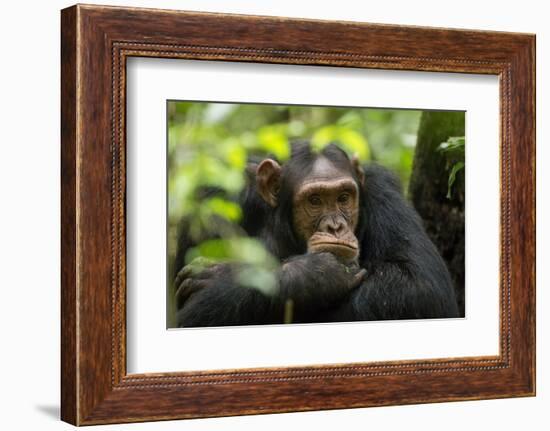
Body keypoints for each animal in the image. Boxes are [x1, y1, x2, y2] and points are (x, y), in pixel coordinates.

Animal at [174, 142, 462, 328]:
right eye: (315, 200)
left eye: (343, 197)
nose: (335, 227)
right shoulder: (214, 199)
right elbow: (192, 316)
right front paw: (316, 274)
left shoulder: (382, 192)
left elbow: (419, 285)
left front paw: (219, 275)